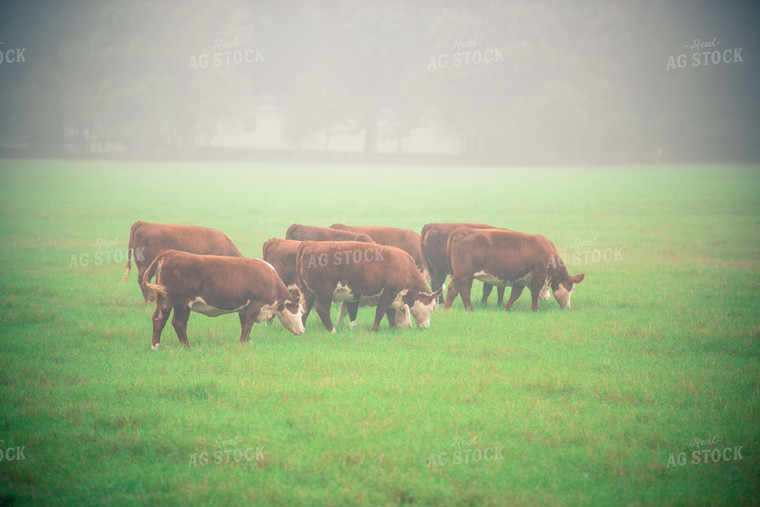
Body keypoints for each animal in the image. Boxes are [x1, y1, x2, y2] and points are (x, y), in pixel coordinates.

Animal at [141, 249, 304, 350]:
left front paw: (248, 342)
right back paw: (187, 346)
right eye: (301, 311)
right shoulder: (254, 305)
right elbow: (247, 326)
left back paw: (155, 346)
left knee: (158, 319)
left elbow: (245, 326)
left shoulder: (243, 309)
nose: (303, 330)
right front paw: (242, 344)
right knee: (179, 323)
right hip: (182, 304)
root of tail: (169, 253)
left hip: (164, 301)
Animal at [296, 241, 442, 334]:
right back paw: (332, 331)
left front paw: (392, 329)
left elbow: (389, 313)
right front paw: (374, 331)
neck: (404, 267)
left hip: (309, 292)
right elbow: (381, 311)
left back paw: (302, 329)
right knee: (322, 309)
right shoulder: (389, 292)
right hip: (324, 292)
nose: (425, 327)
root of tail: (309, 244)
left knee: (305, 310)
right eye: (433, 307)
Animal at [442, 228, 584, 312]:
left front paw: (505, 308)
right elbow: (534, 293)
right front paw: (535, 310)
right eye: (572, 289)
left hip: (464, 276)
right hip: (462, 275)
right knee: (457, 290)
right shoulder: (538, 275)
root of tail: (460, 231)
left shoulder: (520, 278)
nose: (568, 307)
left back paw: (463, 309)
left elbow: (515, 295)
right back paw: (454, 309)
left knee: (461, 291)